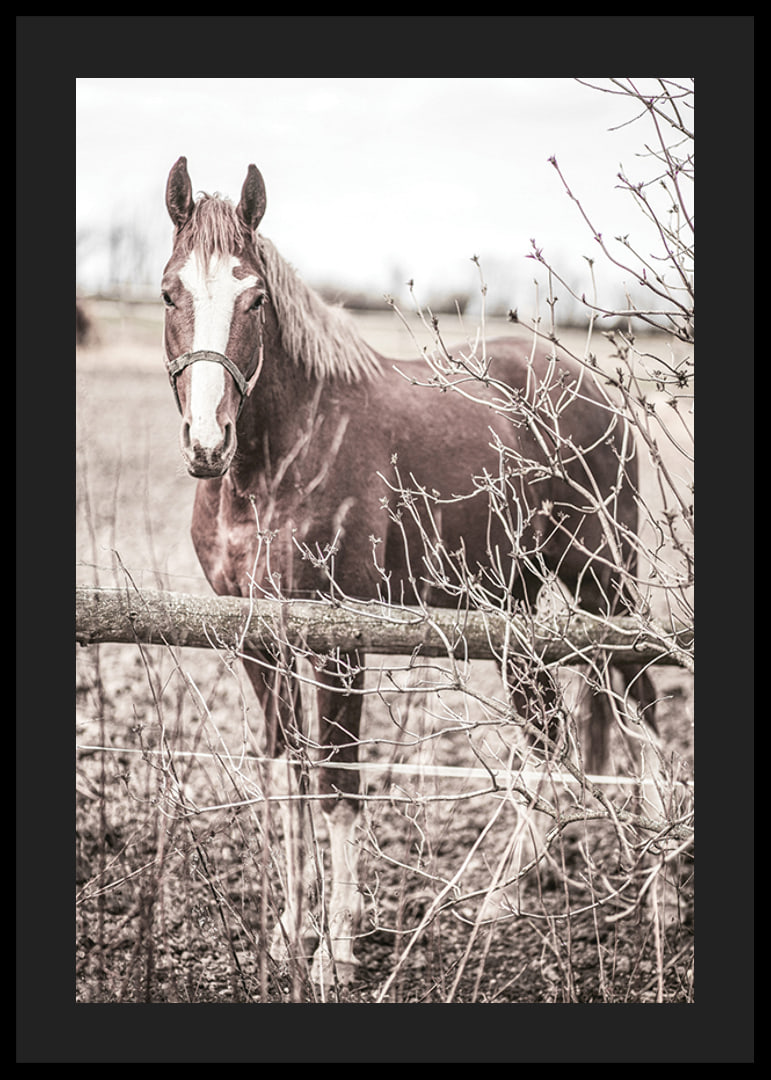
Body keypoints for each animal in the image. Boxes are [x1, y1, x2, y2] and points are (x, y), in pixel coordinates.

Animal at [161, 156, 656, 986]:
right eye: (170, 291)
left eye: (253, 297)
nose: (207, 441)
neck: (277, 460)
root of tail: (586, 385)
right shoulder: (255, 639)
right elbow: (286, 777)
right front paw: (289, 931)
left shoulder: (340, 640)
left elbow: (337, 784)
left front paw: (336, 947)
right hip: (511, 608)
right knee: (548, 732)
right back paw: (502, 901)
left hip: (603, 582)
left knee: (641, 709)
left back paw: (661, 897)